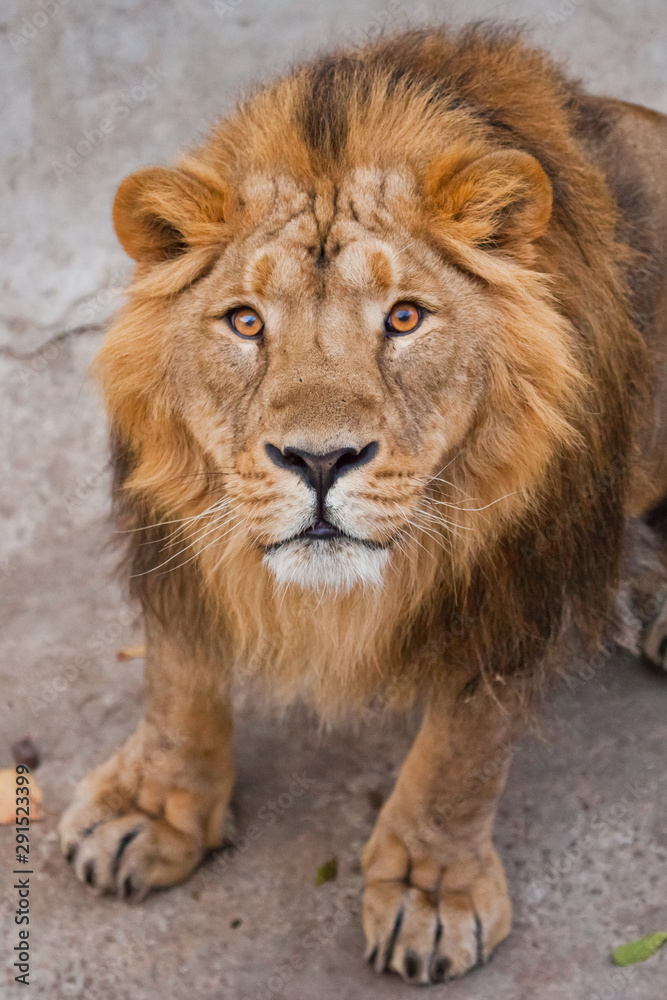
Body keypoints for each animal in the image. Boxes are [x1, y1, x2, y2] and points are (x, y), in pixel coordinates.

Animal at [59, 25, 667, 985]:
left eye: (405, 318)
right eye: (245, 323)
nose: (319, 459)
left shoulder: (515, 583)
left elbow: (463, 748)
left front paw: (429, 889)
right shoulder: (176, 536)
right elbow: (179, 669)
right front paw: (150, 809)